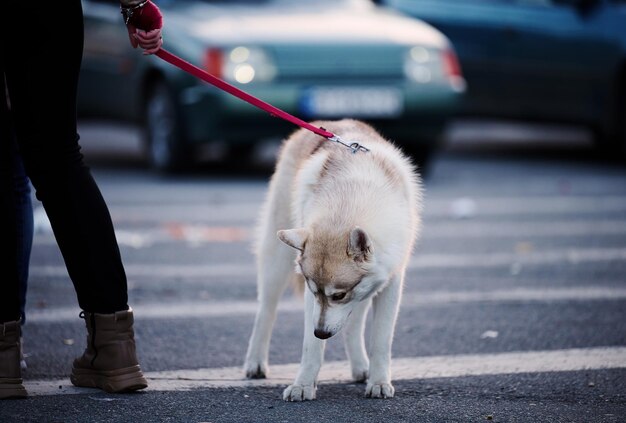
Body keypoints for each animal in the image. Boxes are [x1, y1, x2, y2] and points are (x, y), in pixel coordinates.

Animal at [241, 118, 422, 400]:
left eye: (338, 295)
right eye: (315, 291)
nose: (321, 332)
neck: (347, 205)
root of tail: (326, 122)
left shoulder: (389, 282)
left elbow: (381, 341)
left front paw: (379, 381)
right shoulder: (311, 298)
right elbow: (310, 348)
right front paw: (303, 385)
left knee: (353, 325)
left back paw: (360, 367)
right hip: (276, 262)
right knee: (265, 312)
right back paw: (255, 362)